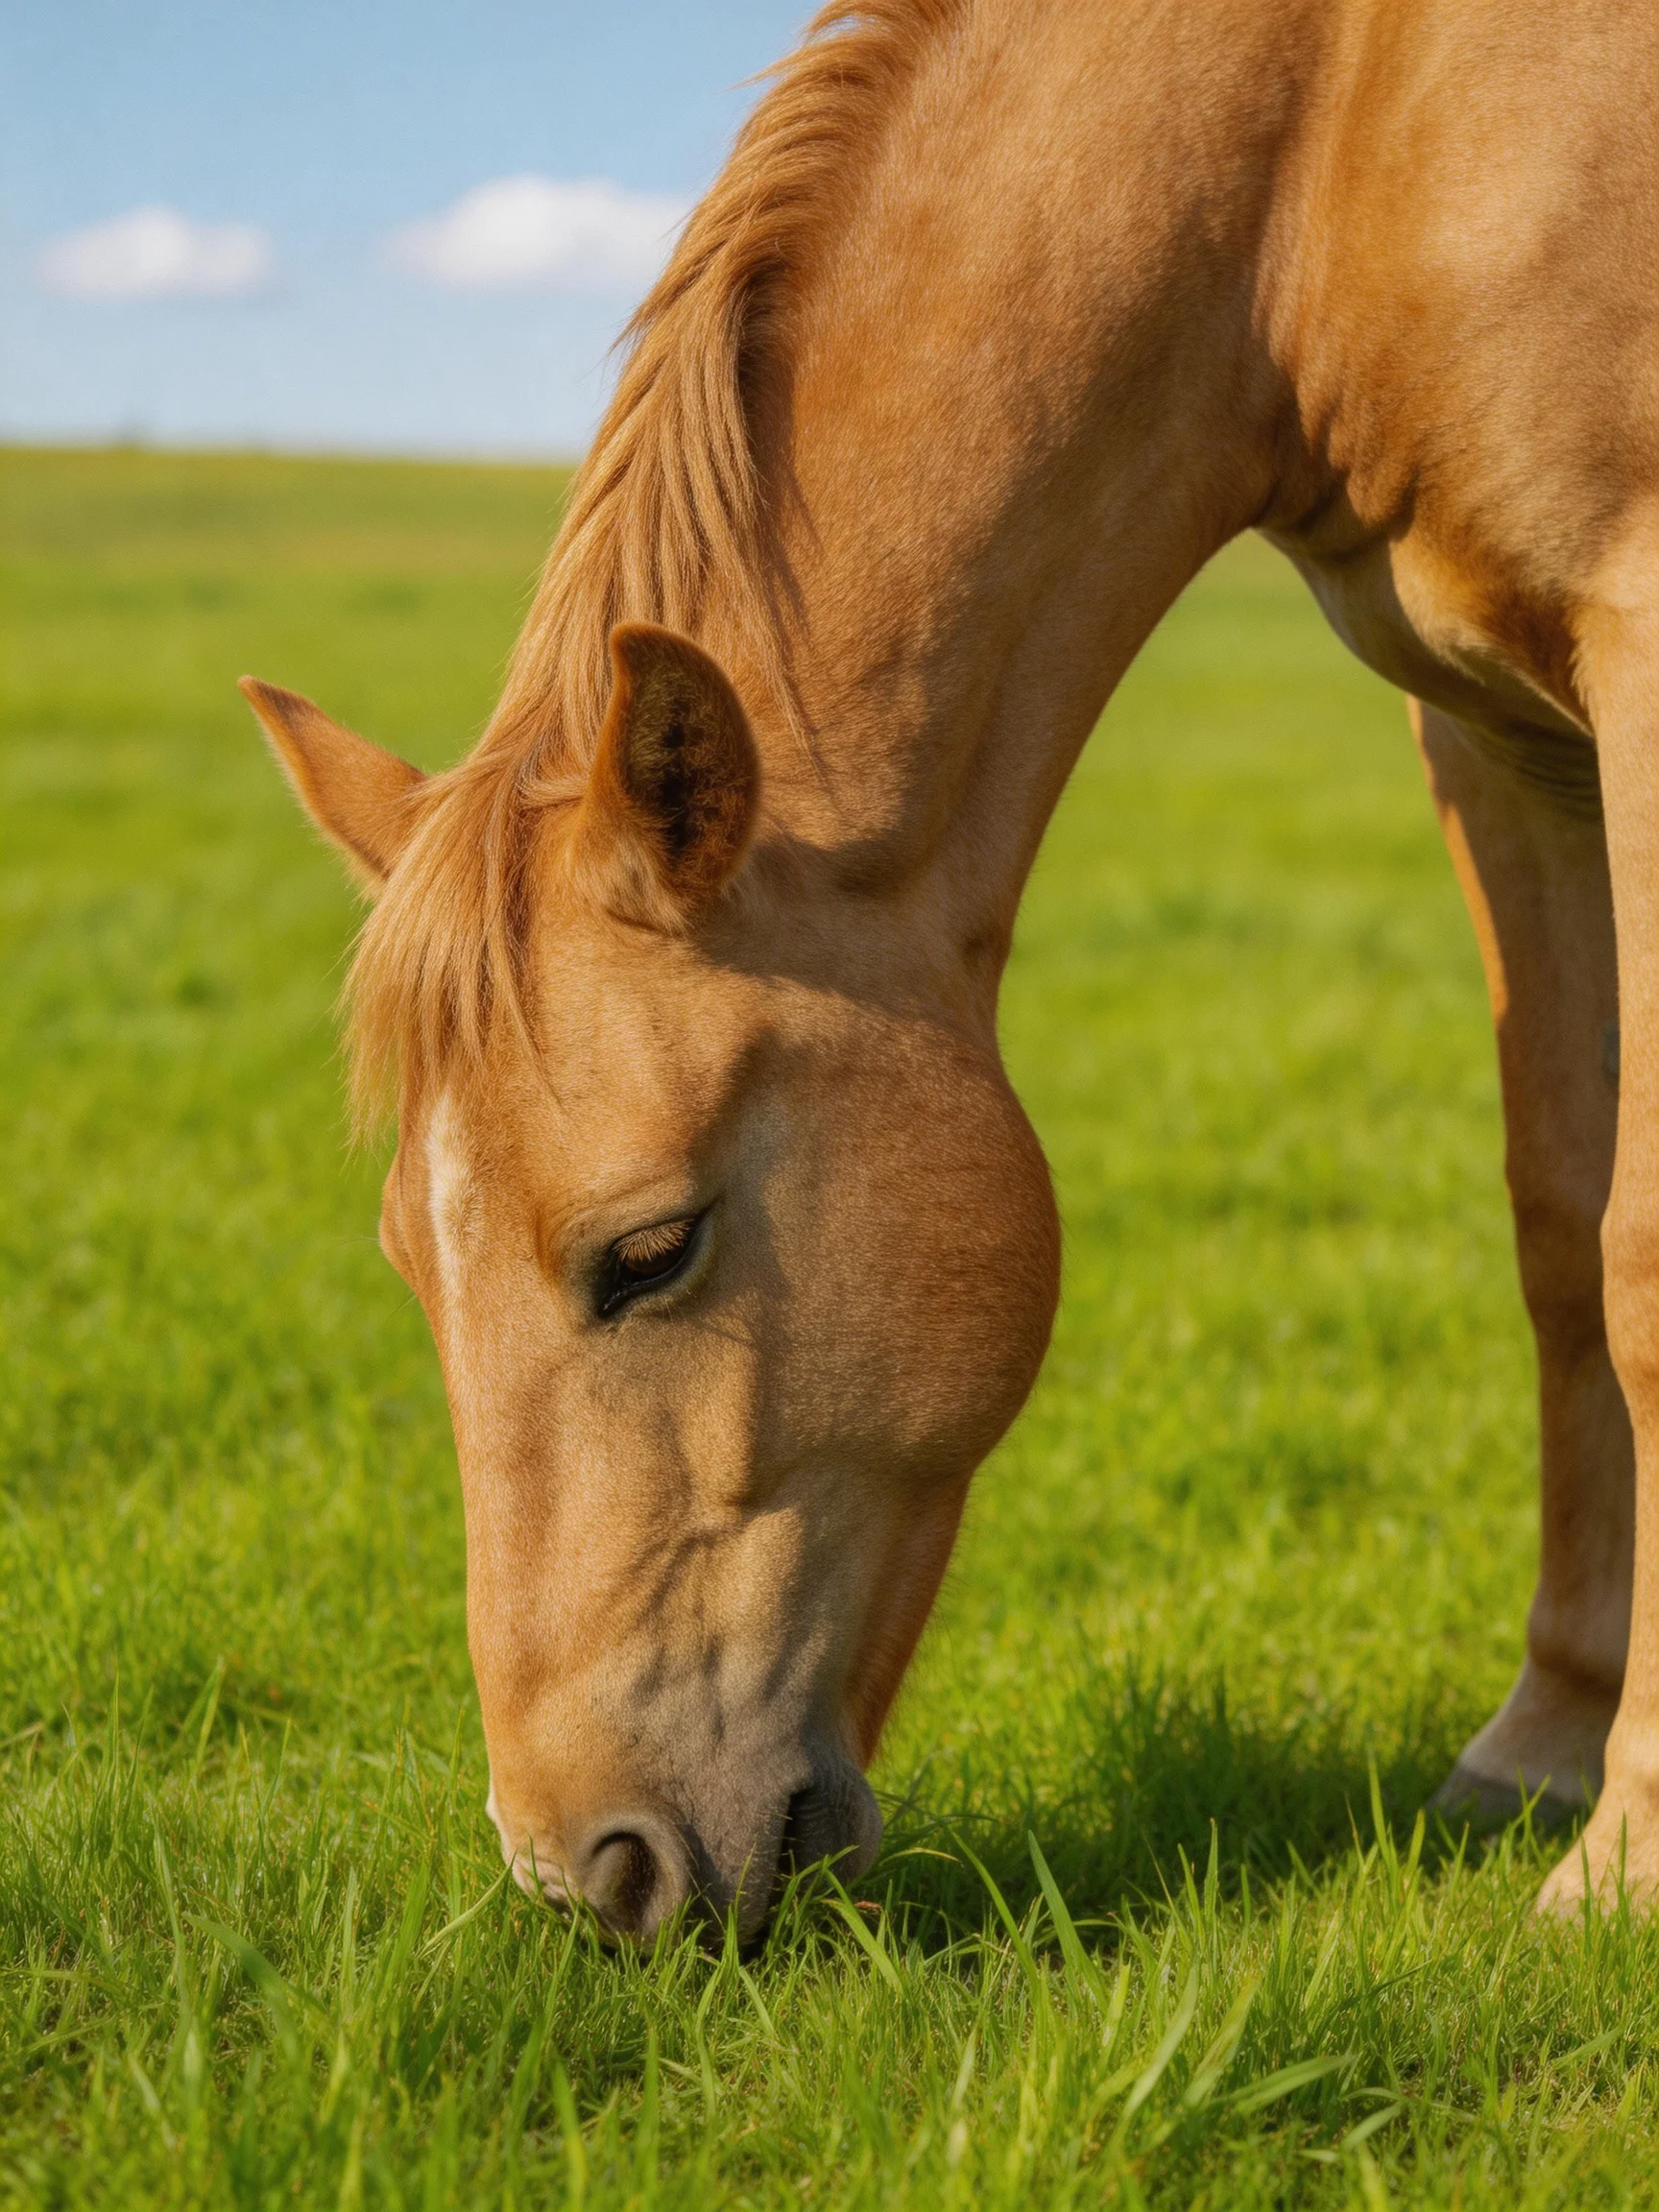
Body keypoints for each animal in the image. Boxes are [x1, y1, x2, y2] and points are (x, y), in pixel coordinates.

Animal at [242, 0, 1659, 1940]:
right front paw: (1544, 1749)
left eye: (649, 1250)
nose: (589, 1875)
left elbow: (1642, 1256)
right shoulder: (1499, 733)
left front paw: (1626, 1858)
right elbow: (1560, 1227)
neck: (1337, 131)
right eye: (408, 1260)